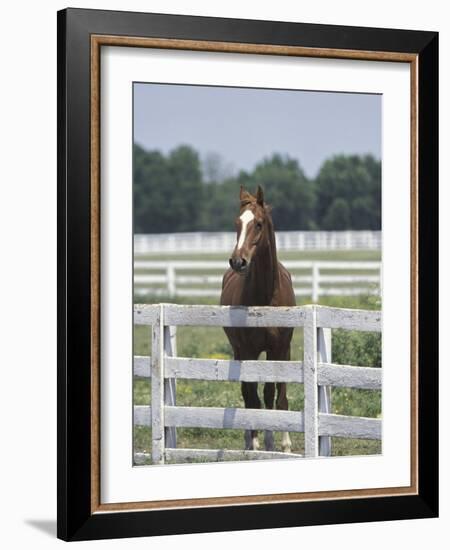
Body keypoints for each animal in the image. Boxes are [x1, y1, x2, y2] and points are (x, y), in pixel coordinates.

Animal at [221, 185, 296, 452]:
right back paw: (250, 439)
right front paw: (254, 442)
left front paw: (284, 444)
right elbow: (252, 396)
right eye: (237, 223)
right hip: (239, 350)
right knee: (248, 393)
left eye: (259, 223)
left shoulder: (281, 348)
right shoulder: (248, 350)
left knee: (268, 394)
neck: (266, 296)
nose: (238, 261)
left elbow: (277, 396)